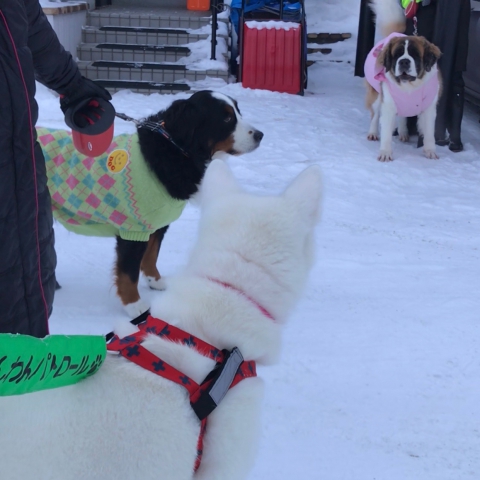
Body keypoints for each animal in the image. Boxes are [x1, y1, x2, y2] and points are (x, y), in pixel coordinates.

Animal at [364, 0, 442, 161]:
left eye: (415, 54)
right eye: (397, 55)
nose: (404, 61)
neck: (411, 86)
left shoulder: (428, 108)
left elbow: (429, 132)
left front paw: (430, 151)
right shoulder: (388, 104)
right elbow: (386, 131)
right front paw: (385, 153)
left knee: (402, 115)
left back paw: (403, 132)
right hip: (376, 95)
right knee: (375, 114)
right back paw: (373, 133)